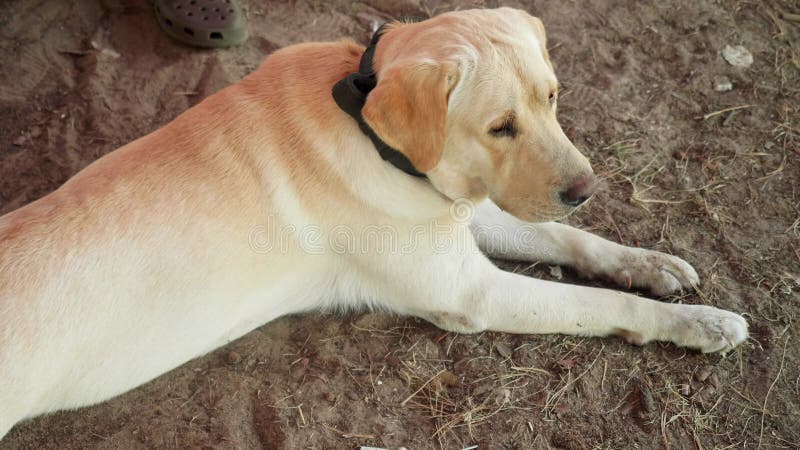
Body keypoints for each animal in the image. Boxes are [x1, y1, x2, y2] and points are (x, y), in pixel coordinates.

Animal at [0, 7, 744, 438]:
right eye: (499, 127)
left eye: (554, 97)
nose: (588, 189)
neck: (371, 128)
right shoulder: (471, 290)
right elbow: (600, 305)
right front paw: (700, 325)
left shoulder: (459, 215)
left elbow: (570, 239)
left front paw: (653, 264)